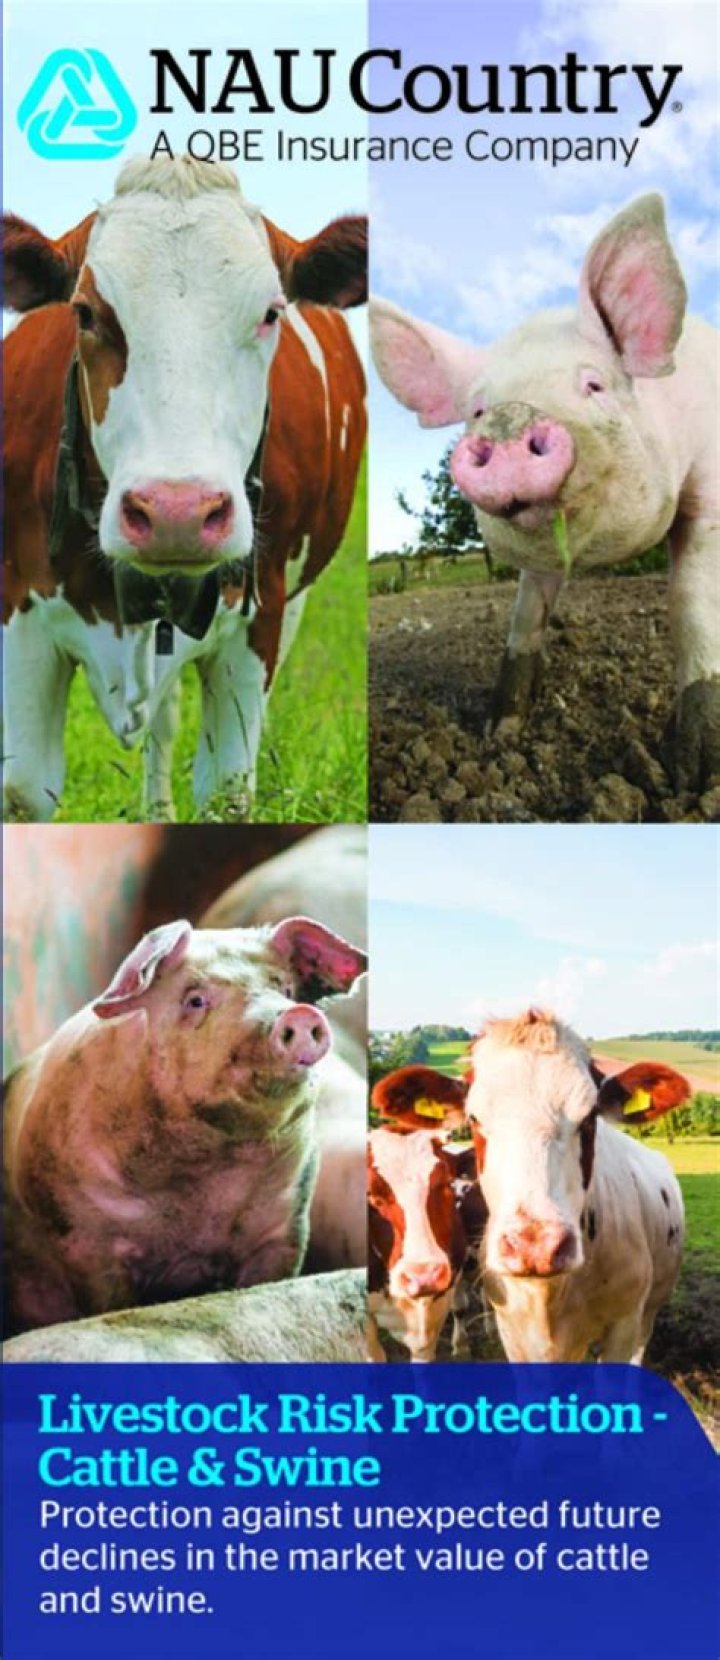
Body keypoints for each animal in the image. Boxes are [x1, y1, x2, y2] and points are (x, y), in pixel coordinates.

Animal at [3, 154, 367, 822]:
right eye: (85, 312)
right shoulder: (18, 609)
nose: (177, 512)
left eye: (271, 313)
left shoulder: (258, 620)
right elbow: (24, 793)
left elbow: (226, 791)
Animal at [3, 913, 366, 1336]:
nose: (298, 1014)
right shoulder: (83, 1243)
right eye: (195, 1000)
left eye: (286, 989)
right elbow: (108, 1305)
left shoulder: (285, 1225)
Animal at [370, 195, 719, 792]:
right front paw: (501, 735)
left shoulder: (709, 490)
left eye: (594, 384)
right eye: (478, 410)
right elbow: (525, 617)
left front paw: (695, 780)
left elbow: (691, 601)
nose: (512, 417)